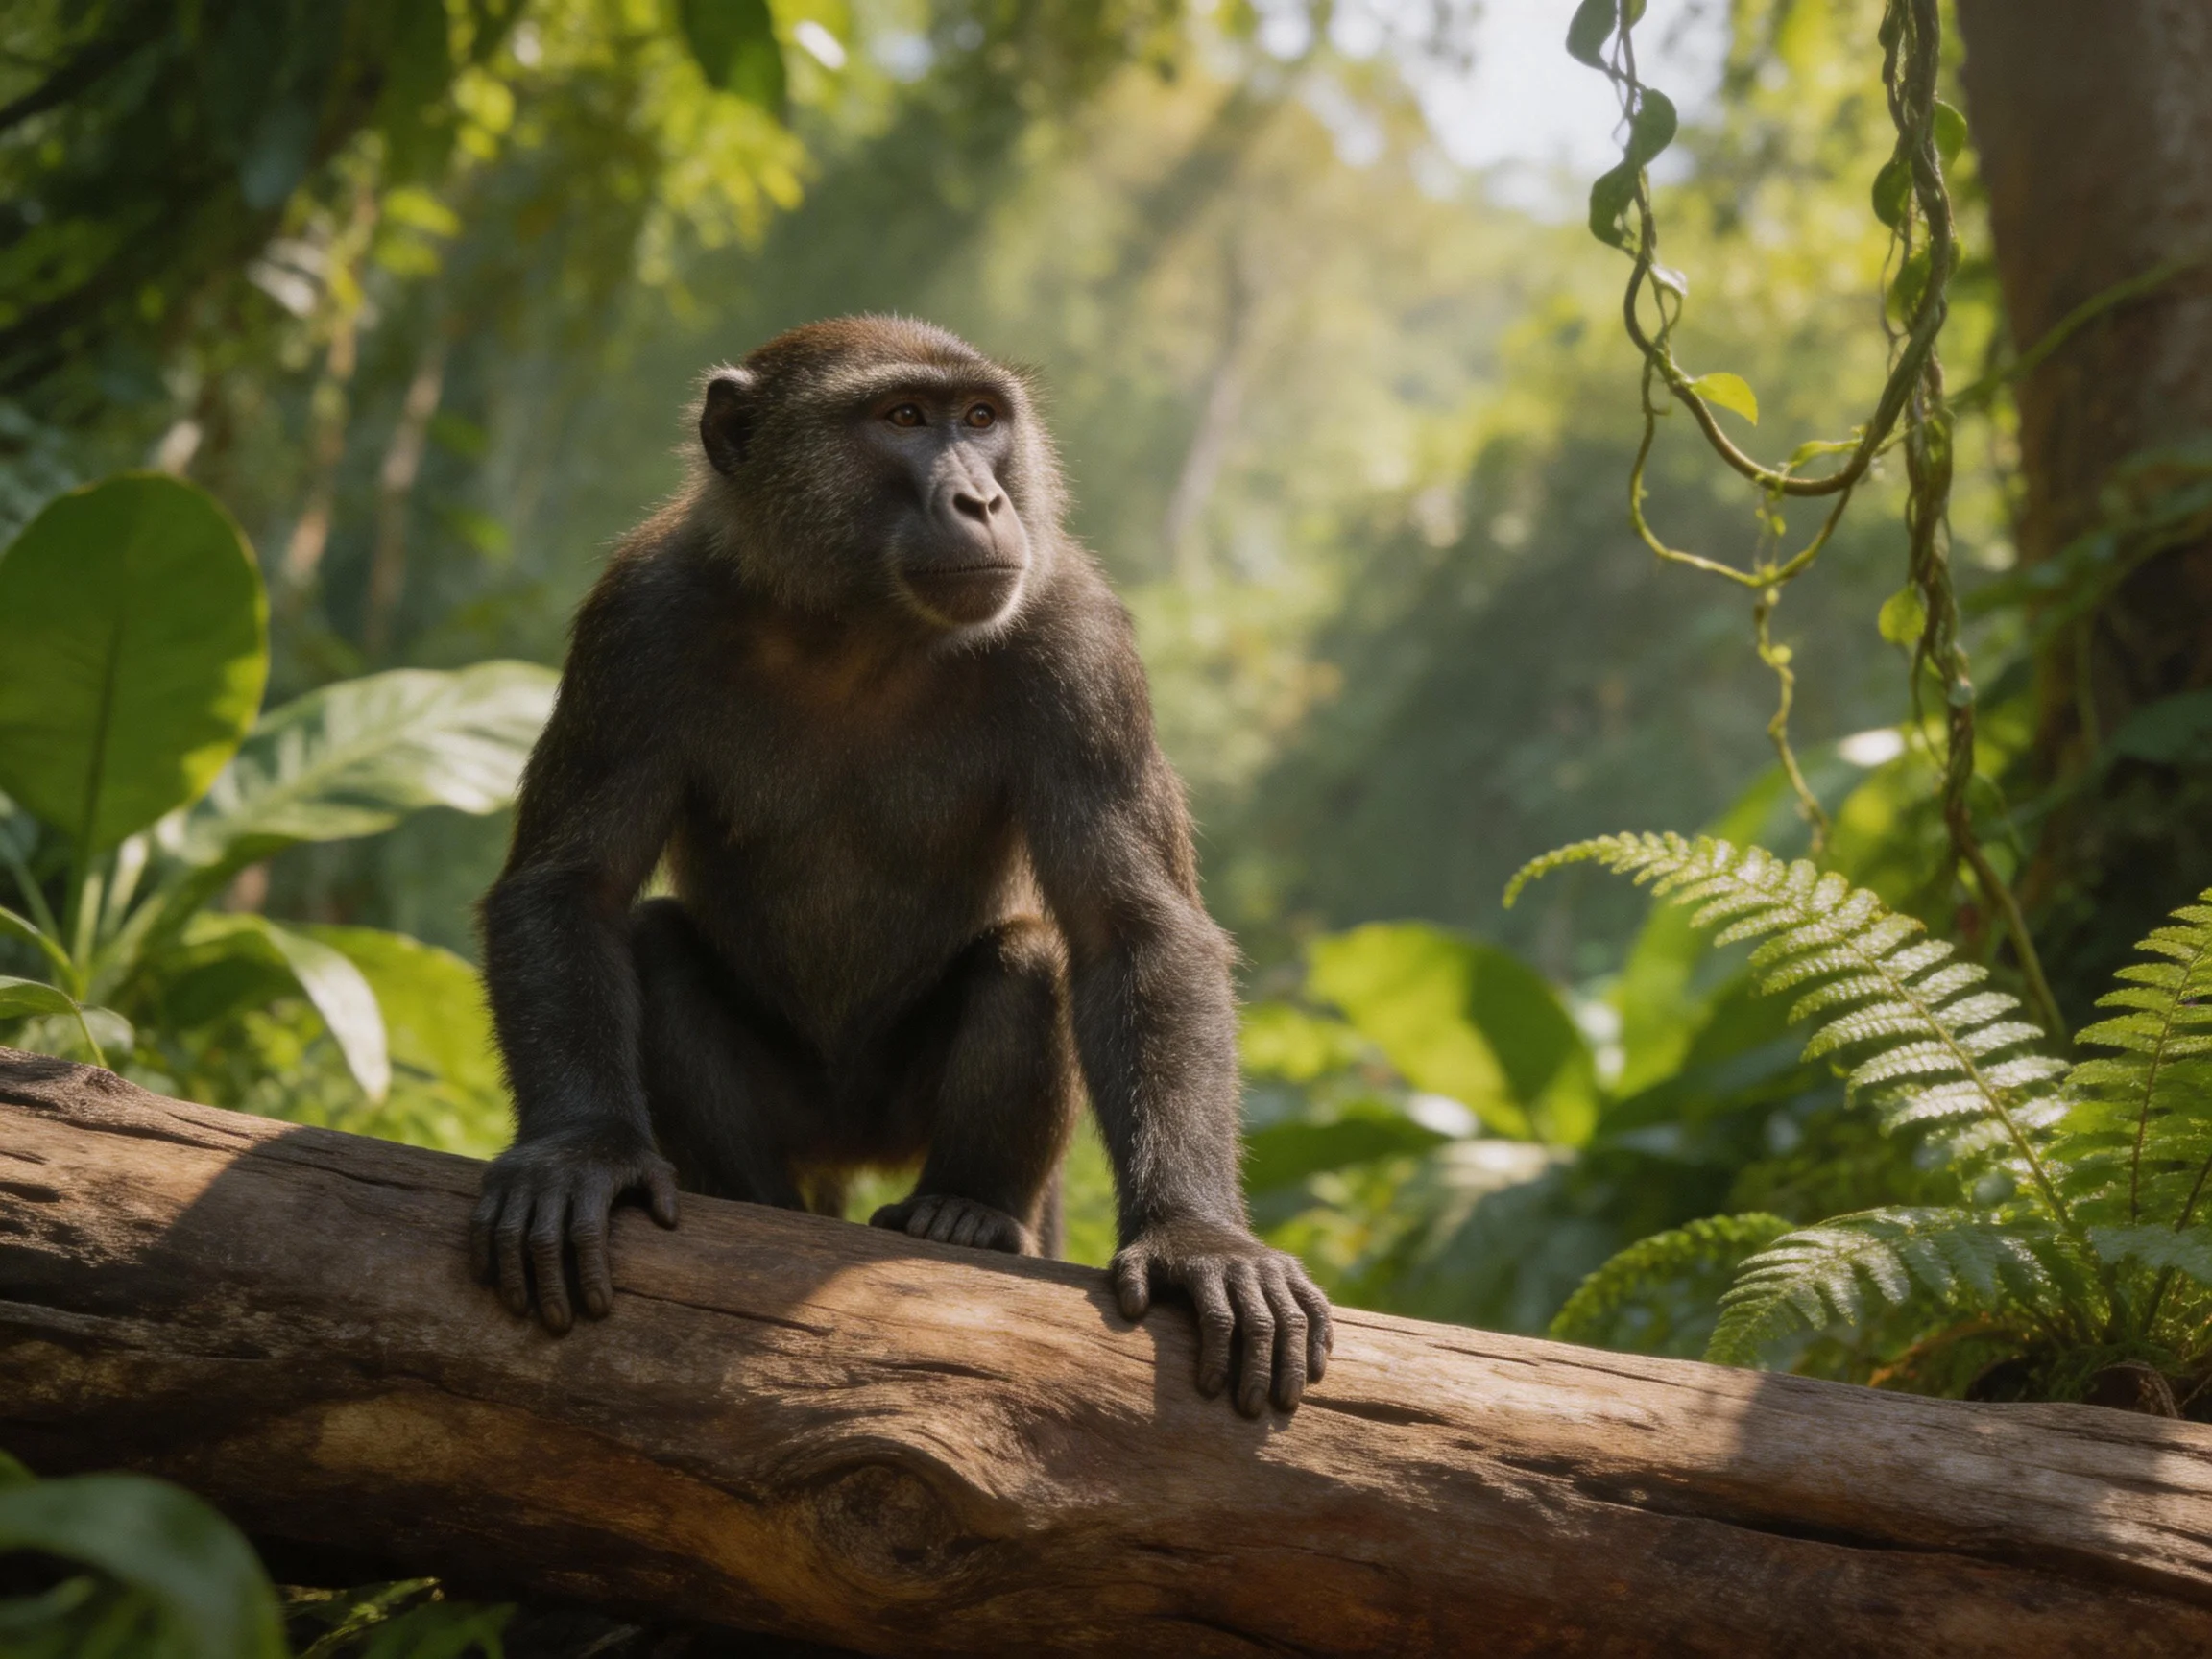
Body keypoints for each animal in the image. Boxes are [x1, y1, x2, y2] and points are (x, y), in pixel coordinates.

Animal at [472, 315, 1331, 1416]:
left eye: (981, 418)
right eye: (905, 418)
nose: (983, 499)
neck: (855, 629)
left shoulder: (1078, 637)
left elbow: (1131, 927)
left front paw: (1196, 1236)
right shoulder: (638, 619)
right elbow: (570, 887)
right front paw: (581, 1148)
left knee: (1030, 955)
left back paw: (967, 1213)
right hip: (803, 1111)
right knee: (656, 945)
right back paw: (757, 1203)